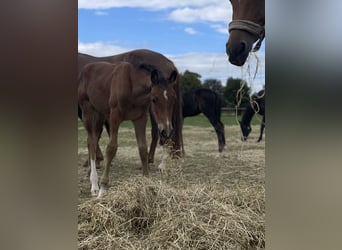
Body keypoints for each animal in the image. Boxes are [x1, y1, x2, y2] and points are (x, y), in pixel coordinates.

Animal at [78, 61, 178, 197]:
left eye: (174, 99)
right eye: (154, 99)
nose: (166, 131)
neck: (132, 87)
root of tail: (85, 69)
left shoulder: (140, 119)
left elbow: (142, 149)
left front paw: (147, 182)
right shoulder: (114, 117)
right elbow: (111, 148)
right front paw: (103, 187)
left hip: (100, 114)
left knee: (92, 140)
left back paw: (91, 176)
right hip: (87, 110)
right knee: (92, 143)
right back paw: (94, 185)